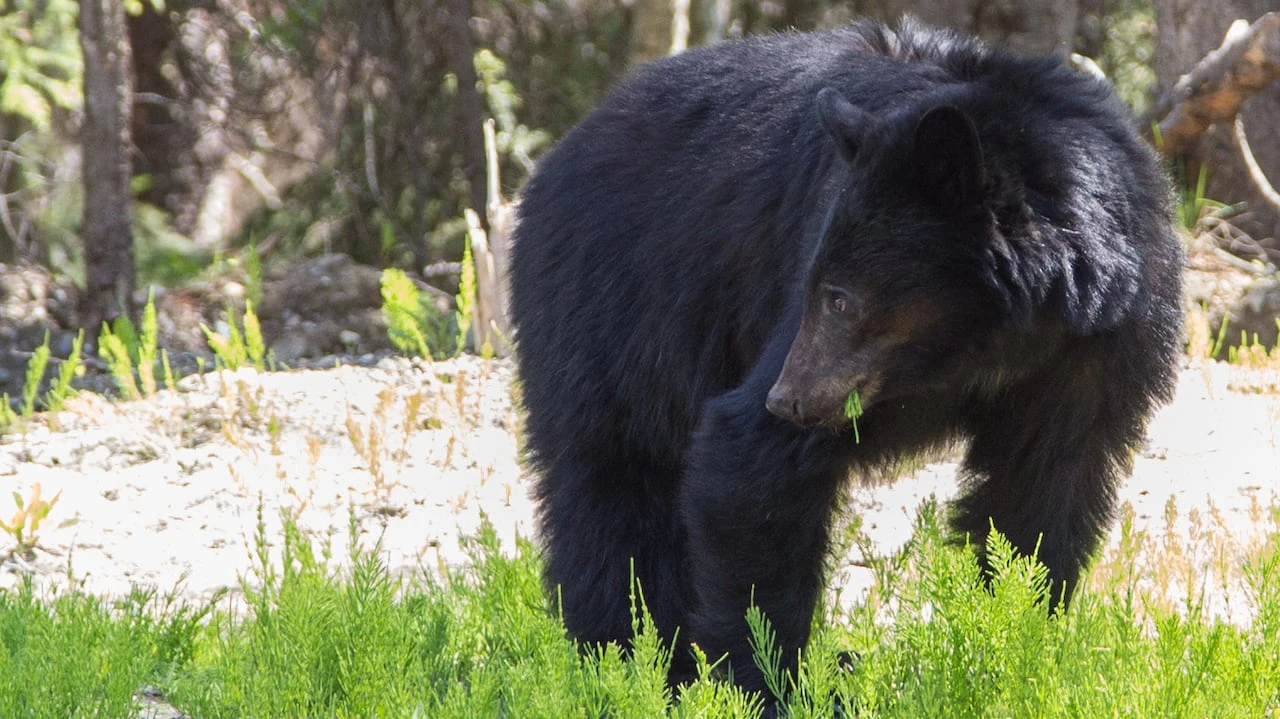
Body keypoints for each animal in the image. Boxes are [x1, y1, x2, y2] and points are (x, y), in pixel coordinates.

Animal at [508, 16, 1182, 705]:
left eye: (840, 298)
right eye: (815, 288)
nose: (787, 399)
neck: (995, 340)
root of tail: (562, 150)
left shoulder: (1099, 348)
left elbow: (1042, 493)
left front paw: (1013, 643)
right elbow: (749, 461)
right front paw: (765, 684)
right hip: (615, 304)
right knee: (613, 484)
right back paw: (623, 660)